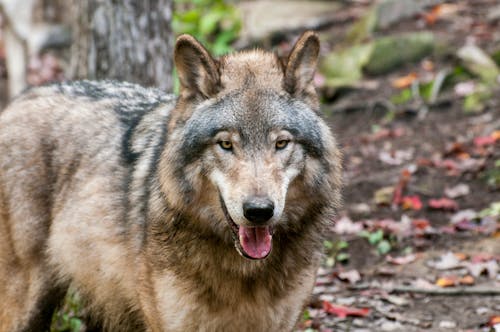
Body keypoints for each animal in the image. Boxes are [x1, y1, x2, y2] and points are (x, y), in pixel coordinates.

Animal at [0, 31, 342, 332]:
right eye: (226, 144)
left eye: (281, 143)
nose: (259, 211)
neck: (243, 272)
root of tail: (19, 100)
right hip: (28, 305)